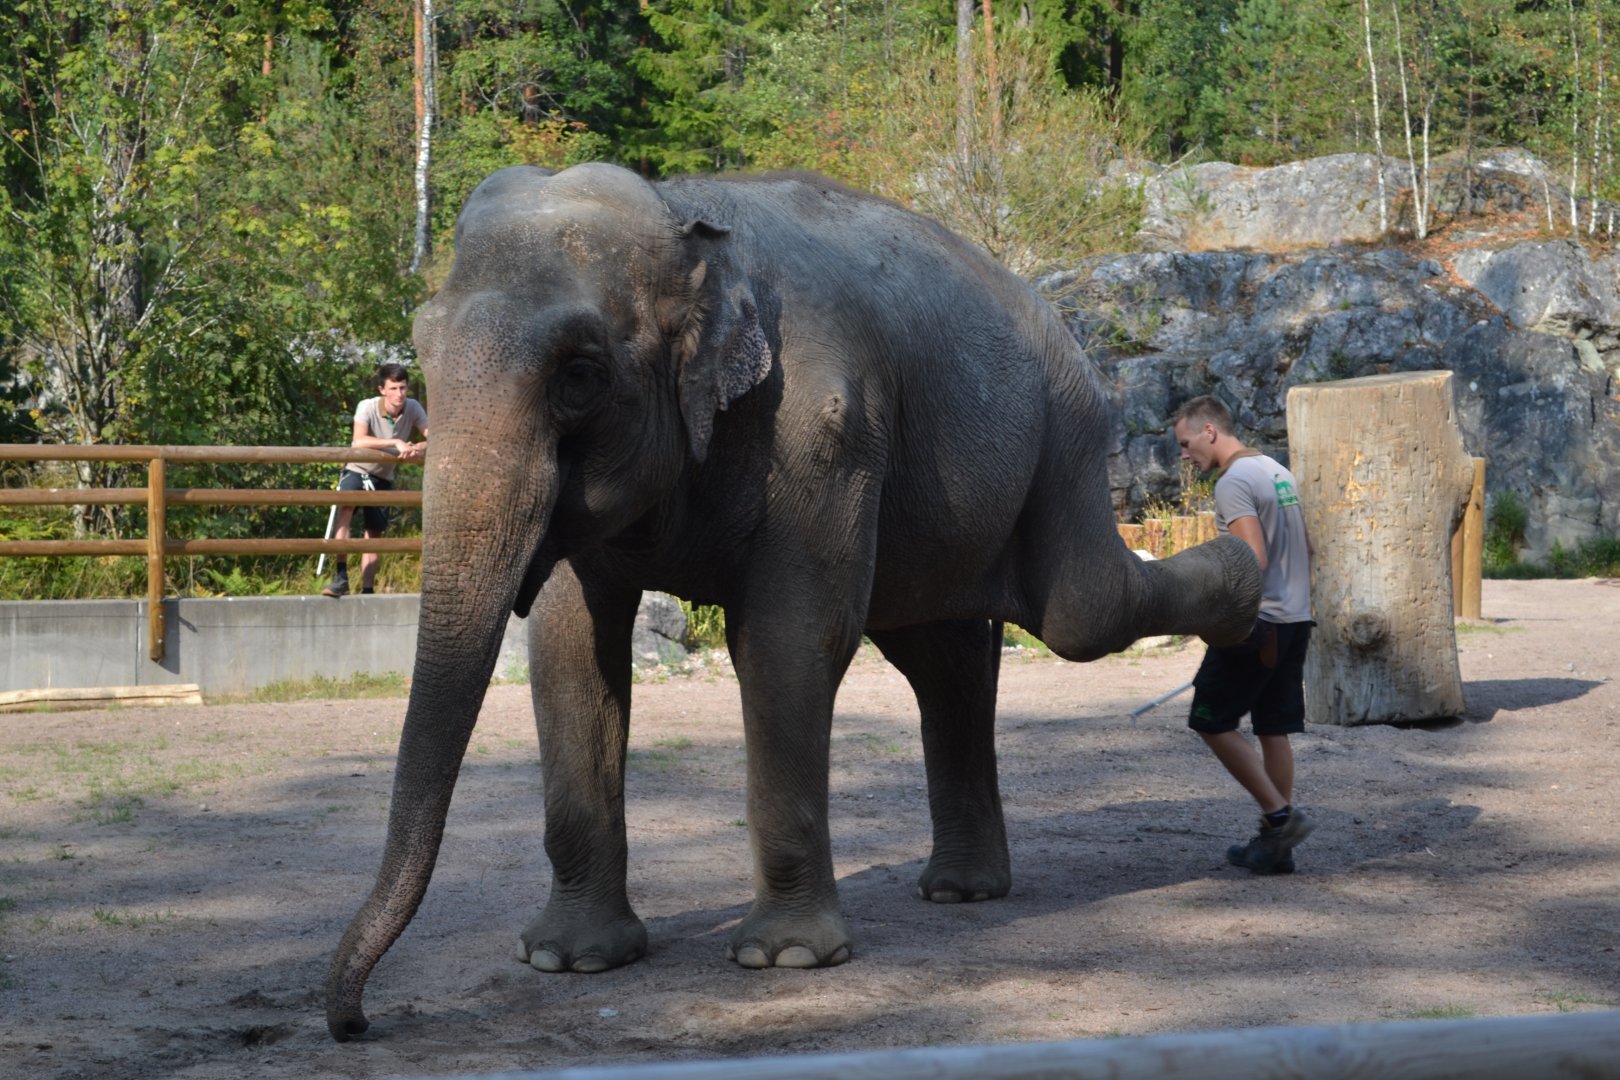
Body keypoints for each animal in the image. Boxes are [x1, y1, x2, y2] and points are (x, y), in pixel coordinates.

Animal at [325, 162, 1261, 1040]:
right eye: (422, 348)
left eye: (580, 373)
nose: (355, 1021)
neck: (682, 219)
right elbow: (572, 651)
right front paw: (570, 960)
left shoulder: (821, 427)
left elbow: (786, 640)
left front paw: (785, 960)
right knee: (945, 657)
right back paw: (962, 892)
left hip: (1063, 429)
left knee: (1079, 612)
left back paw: (1247, 587)